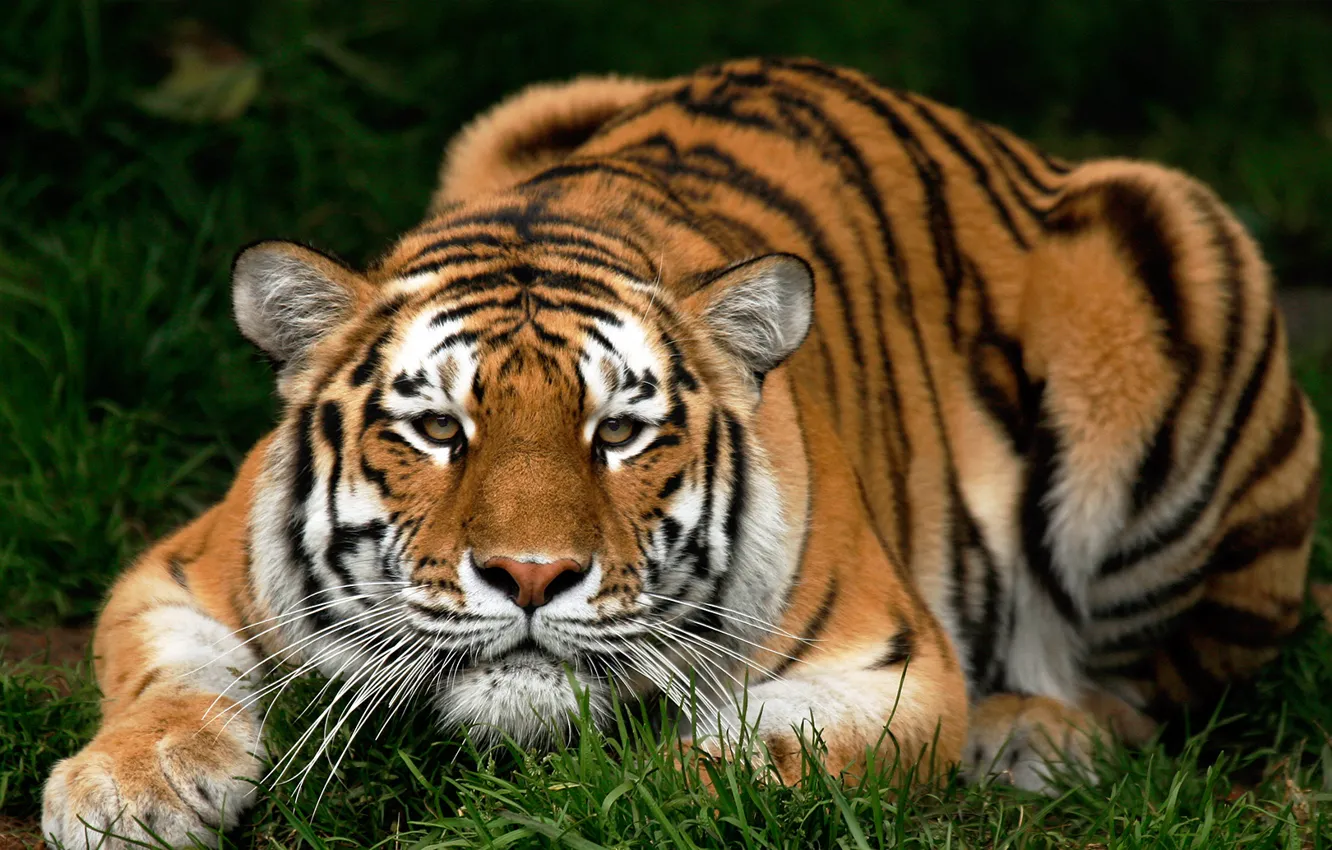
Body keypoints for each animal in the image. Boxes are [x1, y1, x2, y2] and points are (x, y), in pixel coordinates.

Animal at [43, 57, 1320, 849]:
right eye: (439, 430)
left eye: (619, 432)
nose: (531, 576)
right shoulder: (181, 569)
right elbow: (166, 678)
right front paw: (123, 789)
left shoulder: (888, 667)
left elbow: (725, 766)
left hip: (1173, 268)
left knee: (1165, 685)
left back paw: (1034, 732)